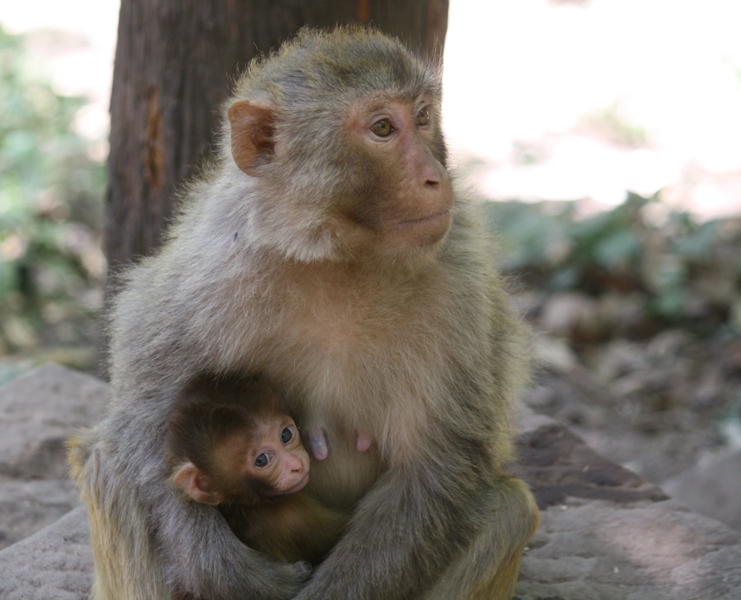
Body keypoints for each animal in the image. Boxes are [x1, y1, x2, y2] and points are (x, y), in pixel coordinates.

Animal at [72, 25, 536, 600]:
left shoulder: (461, 285)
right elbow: (142, 423)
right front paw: (223, 570)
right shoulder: (206, 270)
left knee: (508, 509)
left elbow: (435, 468)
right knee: (109, 468)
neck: (337, 256)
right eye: (383, 128)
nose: (435, 177)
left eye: (424, 115)